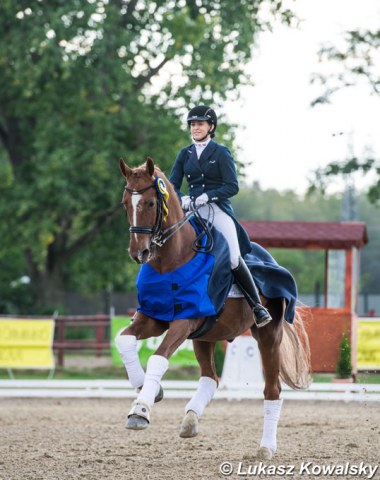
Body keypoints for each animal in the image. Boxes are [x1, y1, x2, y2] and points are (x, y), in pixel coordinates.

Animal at [117, 158, 310, 462]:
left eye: (149, 203)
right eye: (126, 203)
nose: (140, 254)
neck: (171, 262)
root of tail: (270, 258)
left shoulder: (185, 321)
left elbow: (158, 358)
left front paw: (141, 409)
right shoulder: (154, 317)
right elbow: (123, 340)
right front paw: (149, 390)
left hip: (268, 335)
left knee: (272, 390)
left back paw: (266, 447)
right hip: (204, 337)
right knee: (211, 378)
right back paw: (190, 420)